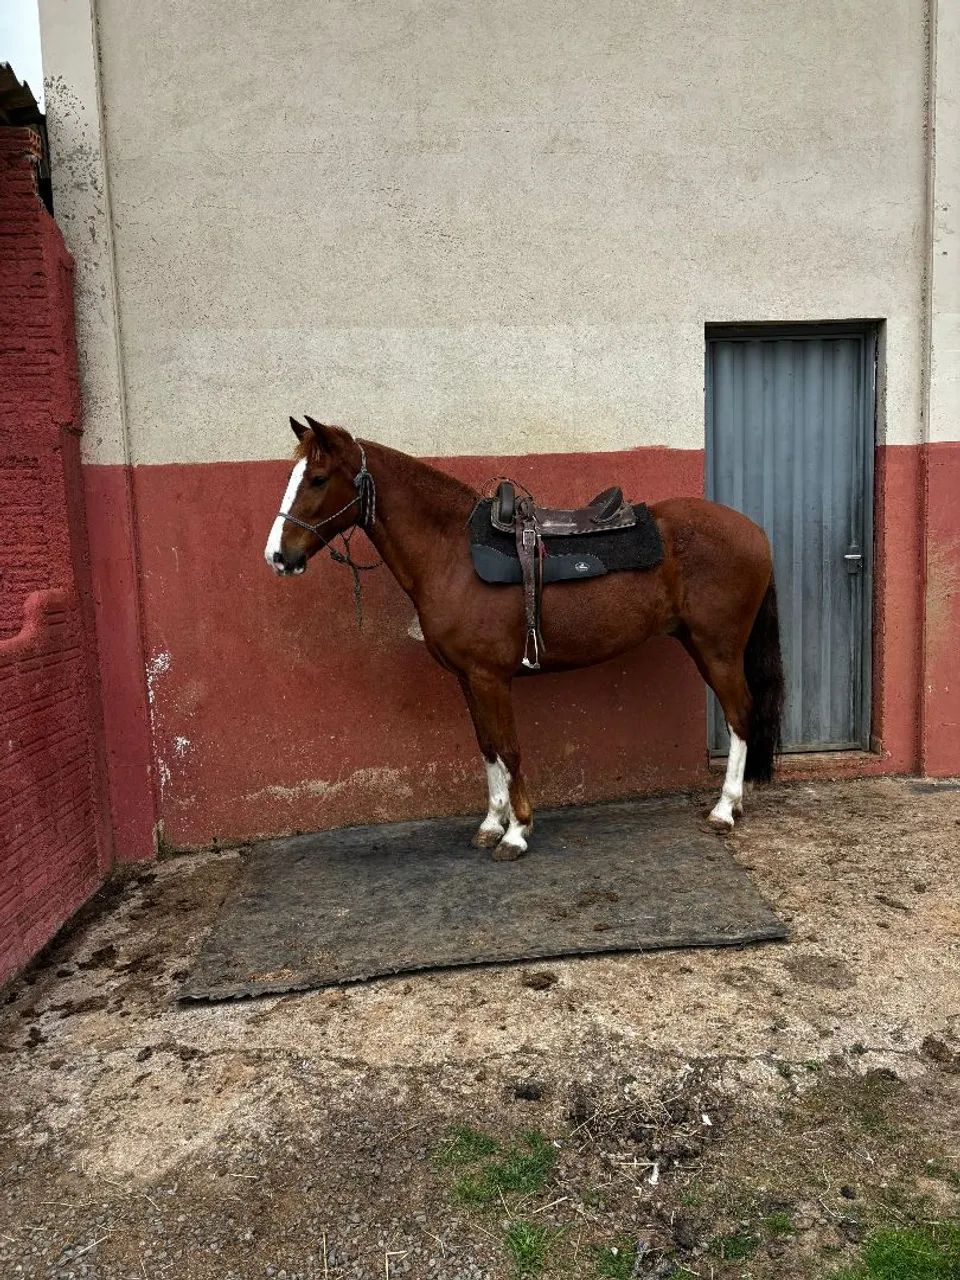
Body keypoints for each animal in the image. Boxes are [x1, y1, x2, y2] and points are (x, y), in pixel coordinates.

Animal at [264, 416, 784, 860]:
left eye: (317, 479)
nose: (278, 556)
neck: (451, 553)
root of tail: (755, 531)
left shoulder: (490, 676)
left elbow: (509, 747)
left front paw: (516, 832)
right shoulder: (468, 678)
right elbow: (488, 746)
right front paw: (491, 823)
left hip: (717, 649)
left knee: (740, 715)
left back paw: (725, 809)